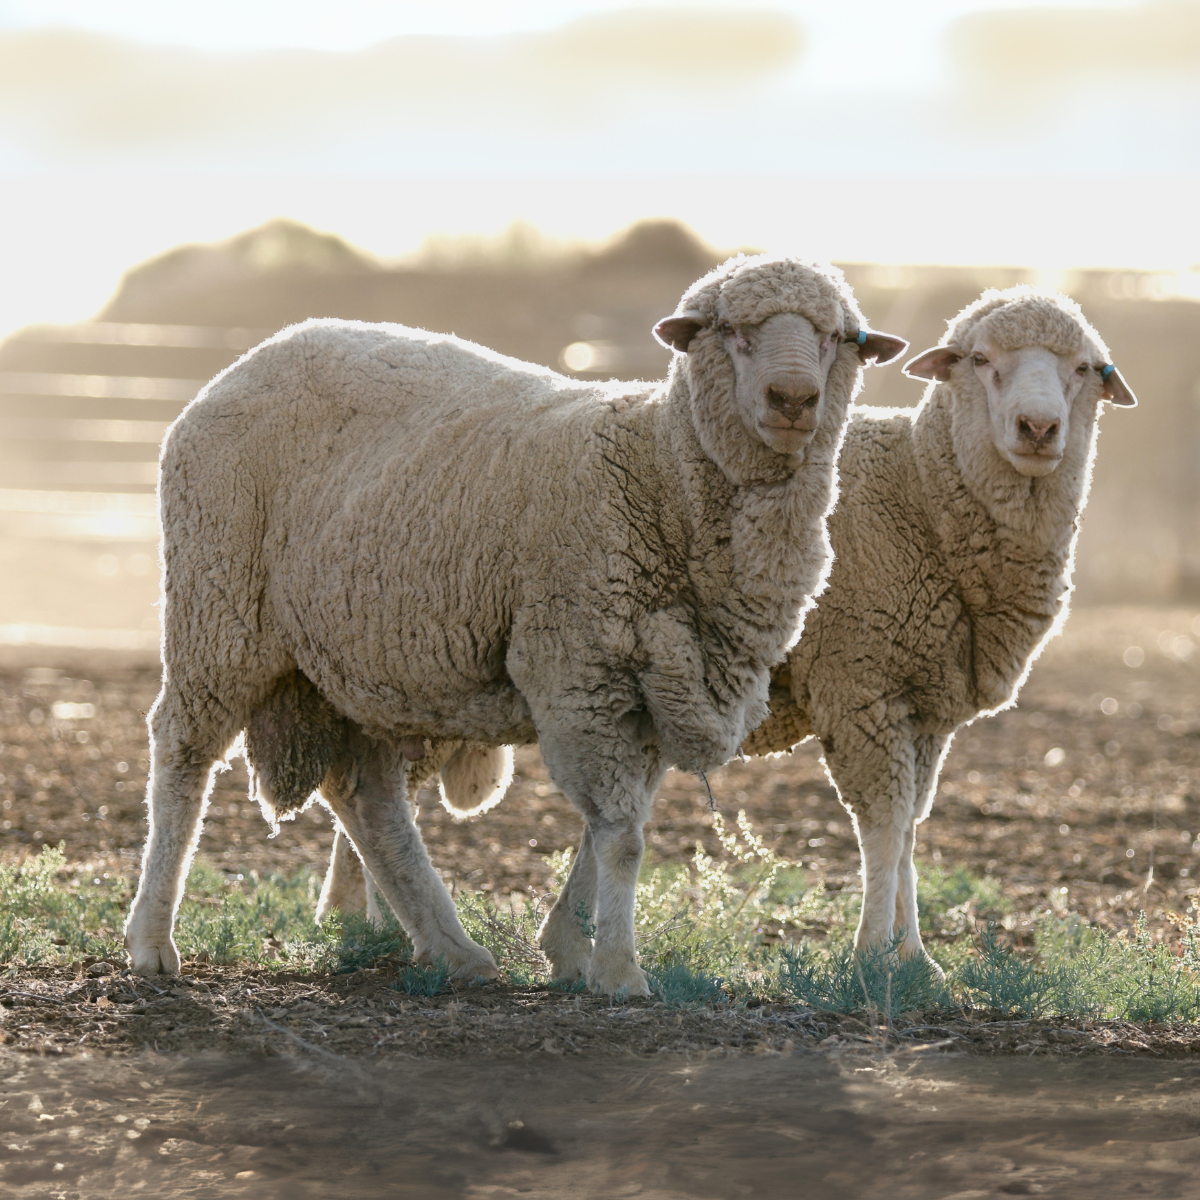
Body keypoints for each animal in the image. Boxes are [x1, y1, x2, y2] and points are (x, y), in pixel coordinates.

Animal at [121, 253, 906, 993]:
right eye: (733, 331)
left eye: (838, 338)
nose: (794, 399)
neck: (662, 466)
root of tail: (255, 357)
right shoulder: (583, 671)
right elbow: (621, 836)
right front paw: (618, 969)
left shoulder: (653, 687)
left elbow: (612, 827)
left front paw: (570, 947)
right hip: (220, 607)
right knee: (183, 750)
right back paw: (152, 941)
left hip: (359, 657)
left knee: (366, 795)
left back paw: (451, 947)